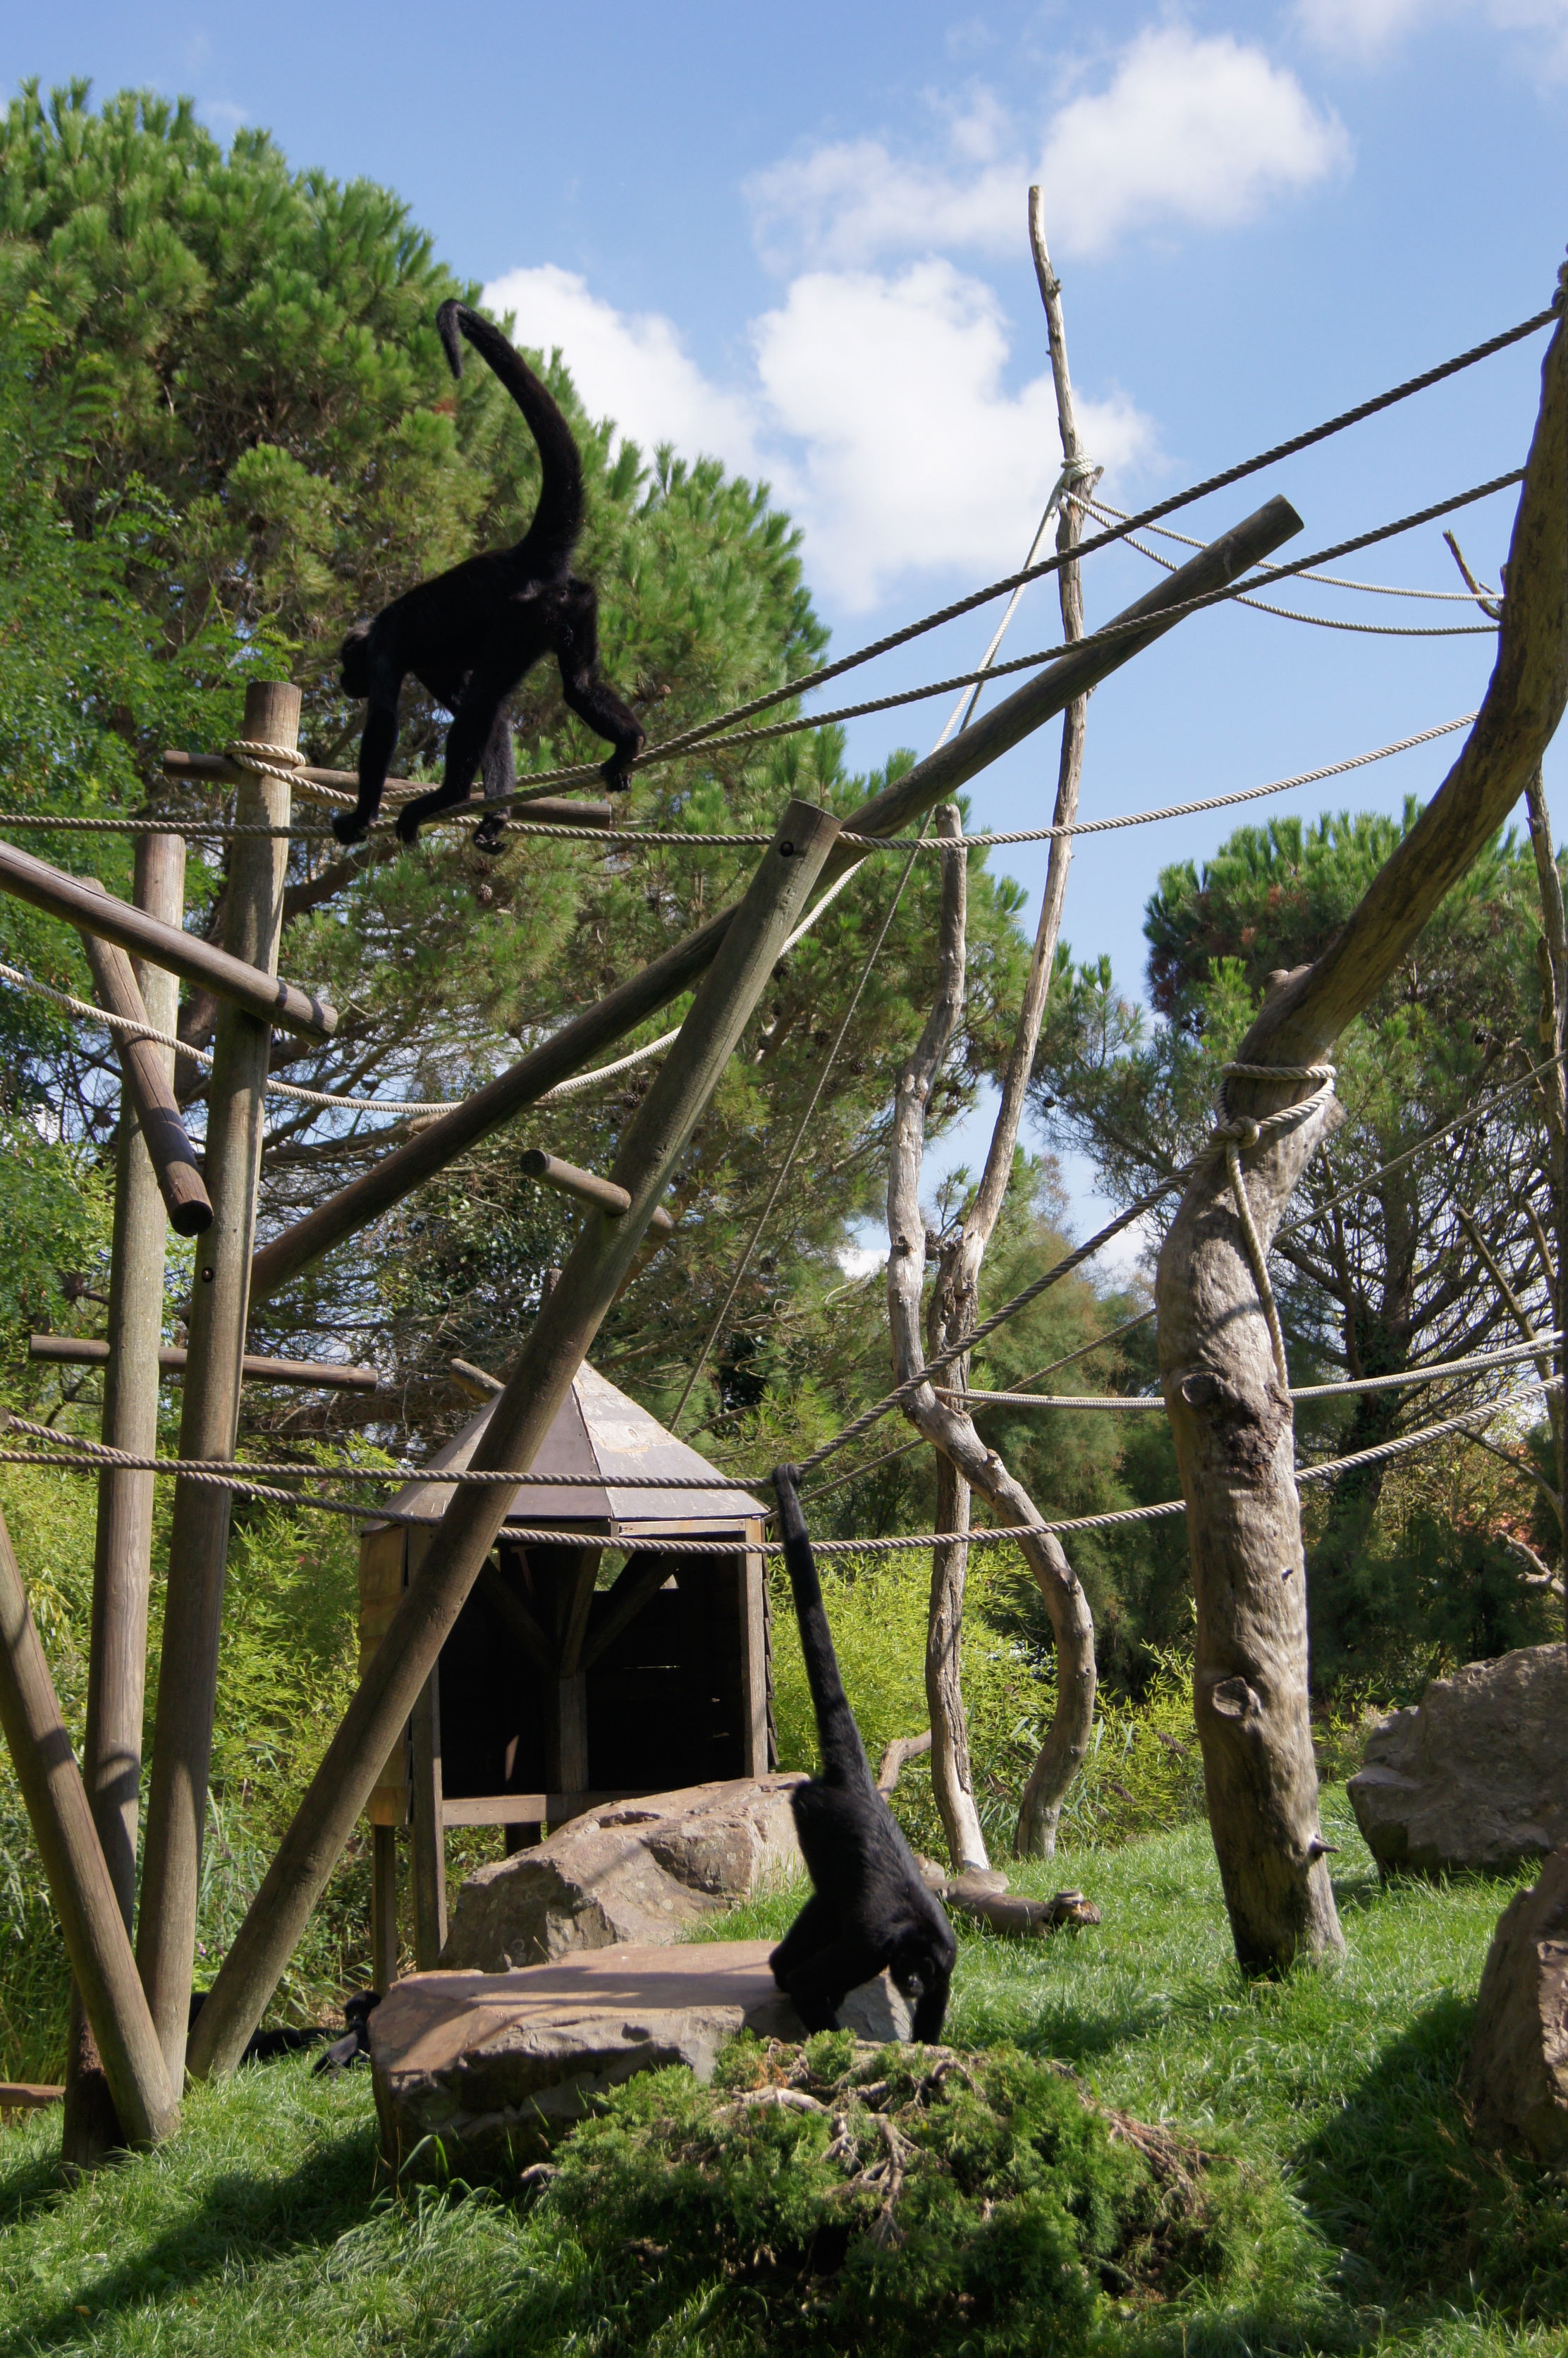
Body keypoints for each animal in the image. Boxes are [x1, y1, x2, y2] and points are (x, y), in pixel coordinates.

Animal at [332, 299, 646, 858]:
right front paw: (497, 815)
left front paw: (360, 817)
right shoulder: (432, 668)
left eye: (351, 664)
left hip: (525, 617)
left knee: (485, 698)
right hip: (570, 604)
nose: (345, 682)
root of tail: (521, 556)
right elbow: (495, 720)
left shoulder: (386, 647)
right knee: (577, 685)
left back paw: (444, 797)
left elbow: (388, 723)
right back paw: (628, 741)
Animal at [768, 1462, 953, 2037]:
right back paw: (783, 1969)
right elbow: (813, 1981)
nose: (912, 1981)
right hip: (813, 1819)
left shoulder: (949, 1957)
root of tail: (859, 1787)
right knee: (830, 1901)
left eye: (925, 1971)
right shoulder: (875, 1948)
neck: (916, 1932)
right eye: (909, 1965)